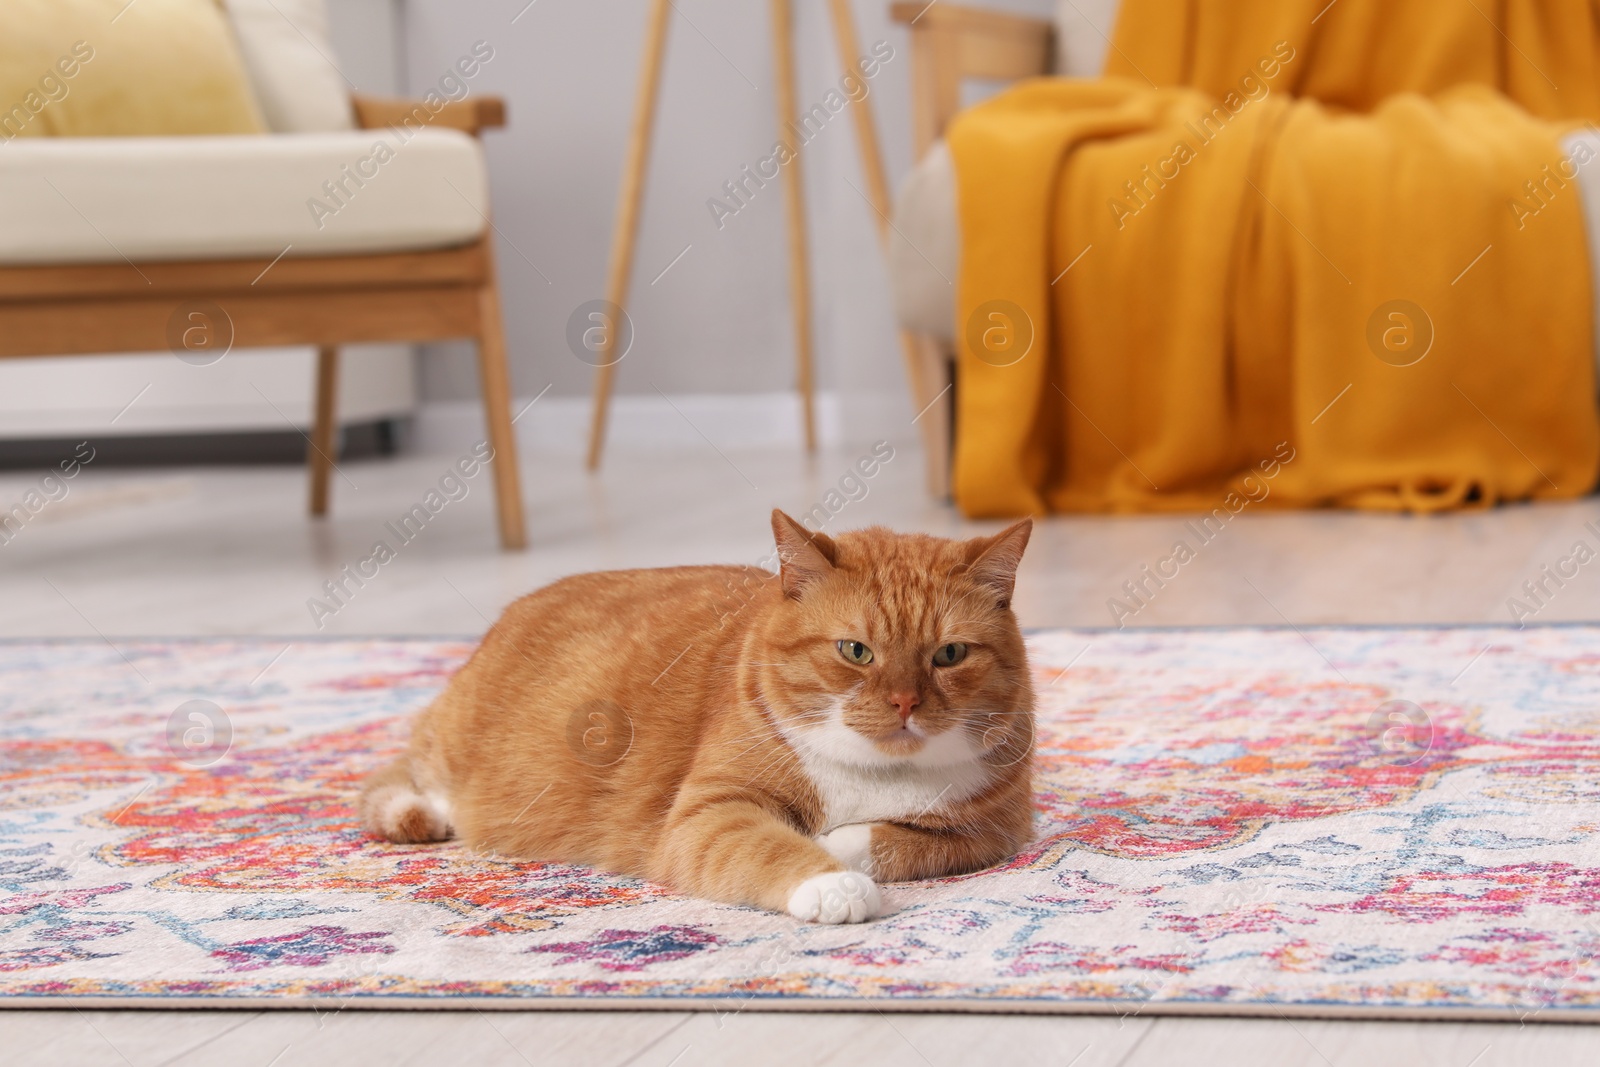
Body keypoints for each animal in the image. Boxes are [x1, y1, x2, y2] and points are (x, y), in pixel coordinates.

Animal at [360, 511, 1036, 921]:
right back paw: (423, 811)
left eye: (949, 654)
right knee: (406, 773)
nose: (904, 703)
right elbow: (768, 843)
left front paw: (834, 846)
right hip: (451, 746)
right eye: (855, 651)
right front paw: (829, 882)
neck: (873, 773)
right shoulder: (706, 814)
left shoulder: (993, 833)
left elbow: (890, 840)